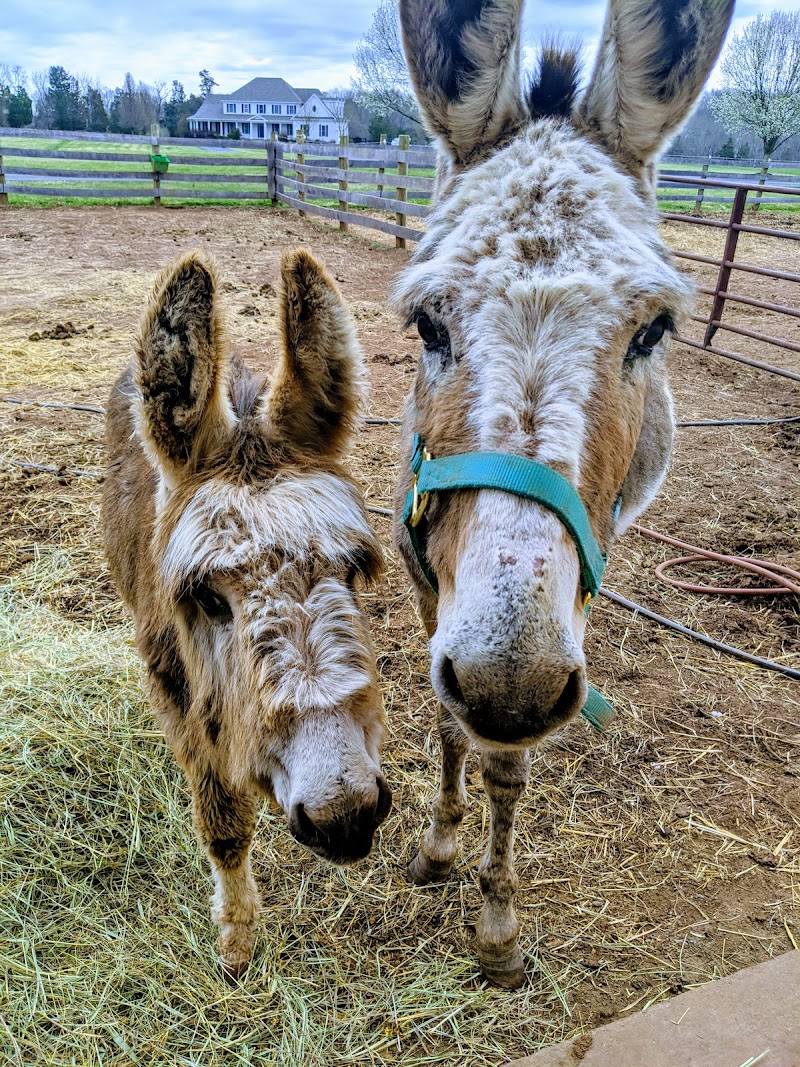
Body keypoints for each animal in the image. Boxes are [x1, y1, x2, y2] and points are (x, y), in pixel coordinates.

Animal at [102, 249, 391, 978]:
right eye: (208, 598)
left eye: (353, 568)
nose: (344, 813)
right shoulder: (183, 693)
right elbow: (224, 824)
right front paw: (236, 942)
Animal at [392, 0, 734, 987]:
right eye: (426, 322)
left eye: (654, 330)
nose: (510, 684)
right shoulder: (428, 584)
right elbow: (448, 723)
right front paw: (437, 847)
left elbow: (506, 766)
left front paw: (497, 928)